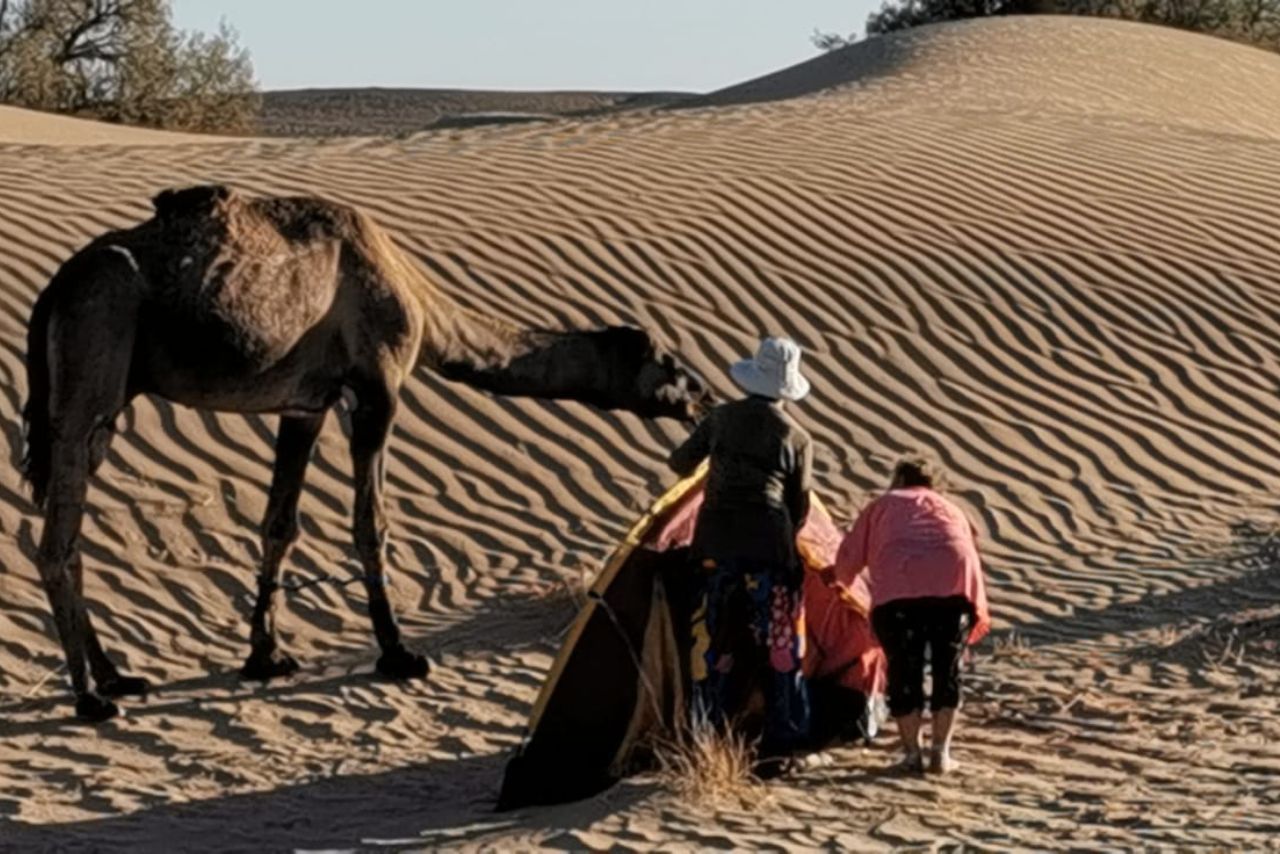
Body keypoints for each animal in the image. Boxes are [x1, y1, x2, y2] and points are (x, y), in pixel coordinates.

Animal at [20, 186, 716, 722]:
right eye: (666, 360)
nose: (704, 396)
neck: (424, 311)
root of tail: (53, 289)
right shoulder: (378, 390)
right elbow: (370, 522)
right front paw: (399, 654)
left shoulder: (303, 406)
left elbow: (279, 524)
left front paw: (266, 657)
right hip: (94, 359)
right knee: (55, 539)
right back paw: (90, 697)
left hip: (103, 396)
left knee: (72, 531)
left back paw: (116, 676)